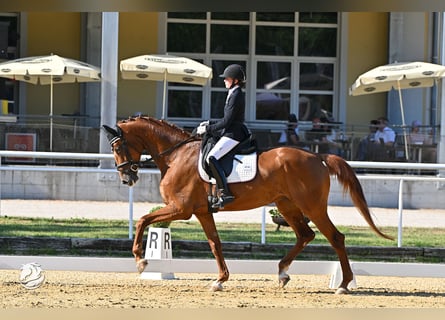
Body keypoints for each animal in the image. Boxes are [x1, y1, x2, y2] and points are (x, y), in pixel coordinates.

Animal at [102, 116, 390, 294]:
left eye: (117, 147)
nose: (127, 178)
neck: (176, 155)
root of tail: (316, 156)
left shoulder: (180, 209)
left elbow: (143, 220)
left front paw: (140, 260)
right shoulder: (202, 212)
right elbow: (215, 244)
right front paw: (220, 280)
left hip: (312, 207)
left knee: (335, 237)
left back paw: (343, 284)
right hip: (287, 205)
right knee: (306, 235)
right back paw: (282, 273)